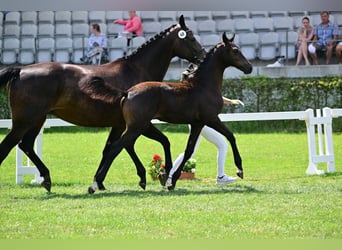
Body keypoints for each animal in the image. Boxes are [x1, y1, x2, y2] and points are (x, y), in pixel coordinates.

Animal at [0, 15, 206, 191]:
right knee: (8, 146)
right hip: (24, 121)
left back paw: (47, 179)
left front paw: (99, 181)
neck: (135, 70)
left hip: (37, 120)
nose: (203, 57)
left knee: (26, 145)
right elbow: (155, 142)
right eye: (190, 37)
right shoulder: (139, 123)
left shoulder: (121, 125)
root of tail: (20, 70)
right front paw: (156, 176)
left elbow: (111, 149)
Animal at [87, 32, 254, 193]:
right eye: (235, 50)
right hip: (137, 126)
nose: (249, 67)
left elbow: (189, 150)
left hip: (139, 127)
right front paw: (240, 170)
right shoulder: (211, 118)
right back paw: (95, 185)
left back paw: (138, 180)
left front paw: (172, 182)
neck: (203, 85)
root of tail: (127, 93)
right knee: (116, 147)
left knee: (125, 145)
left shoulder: (198, 124)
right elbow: (231, 136)